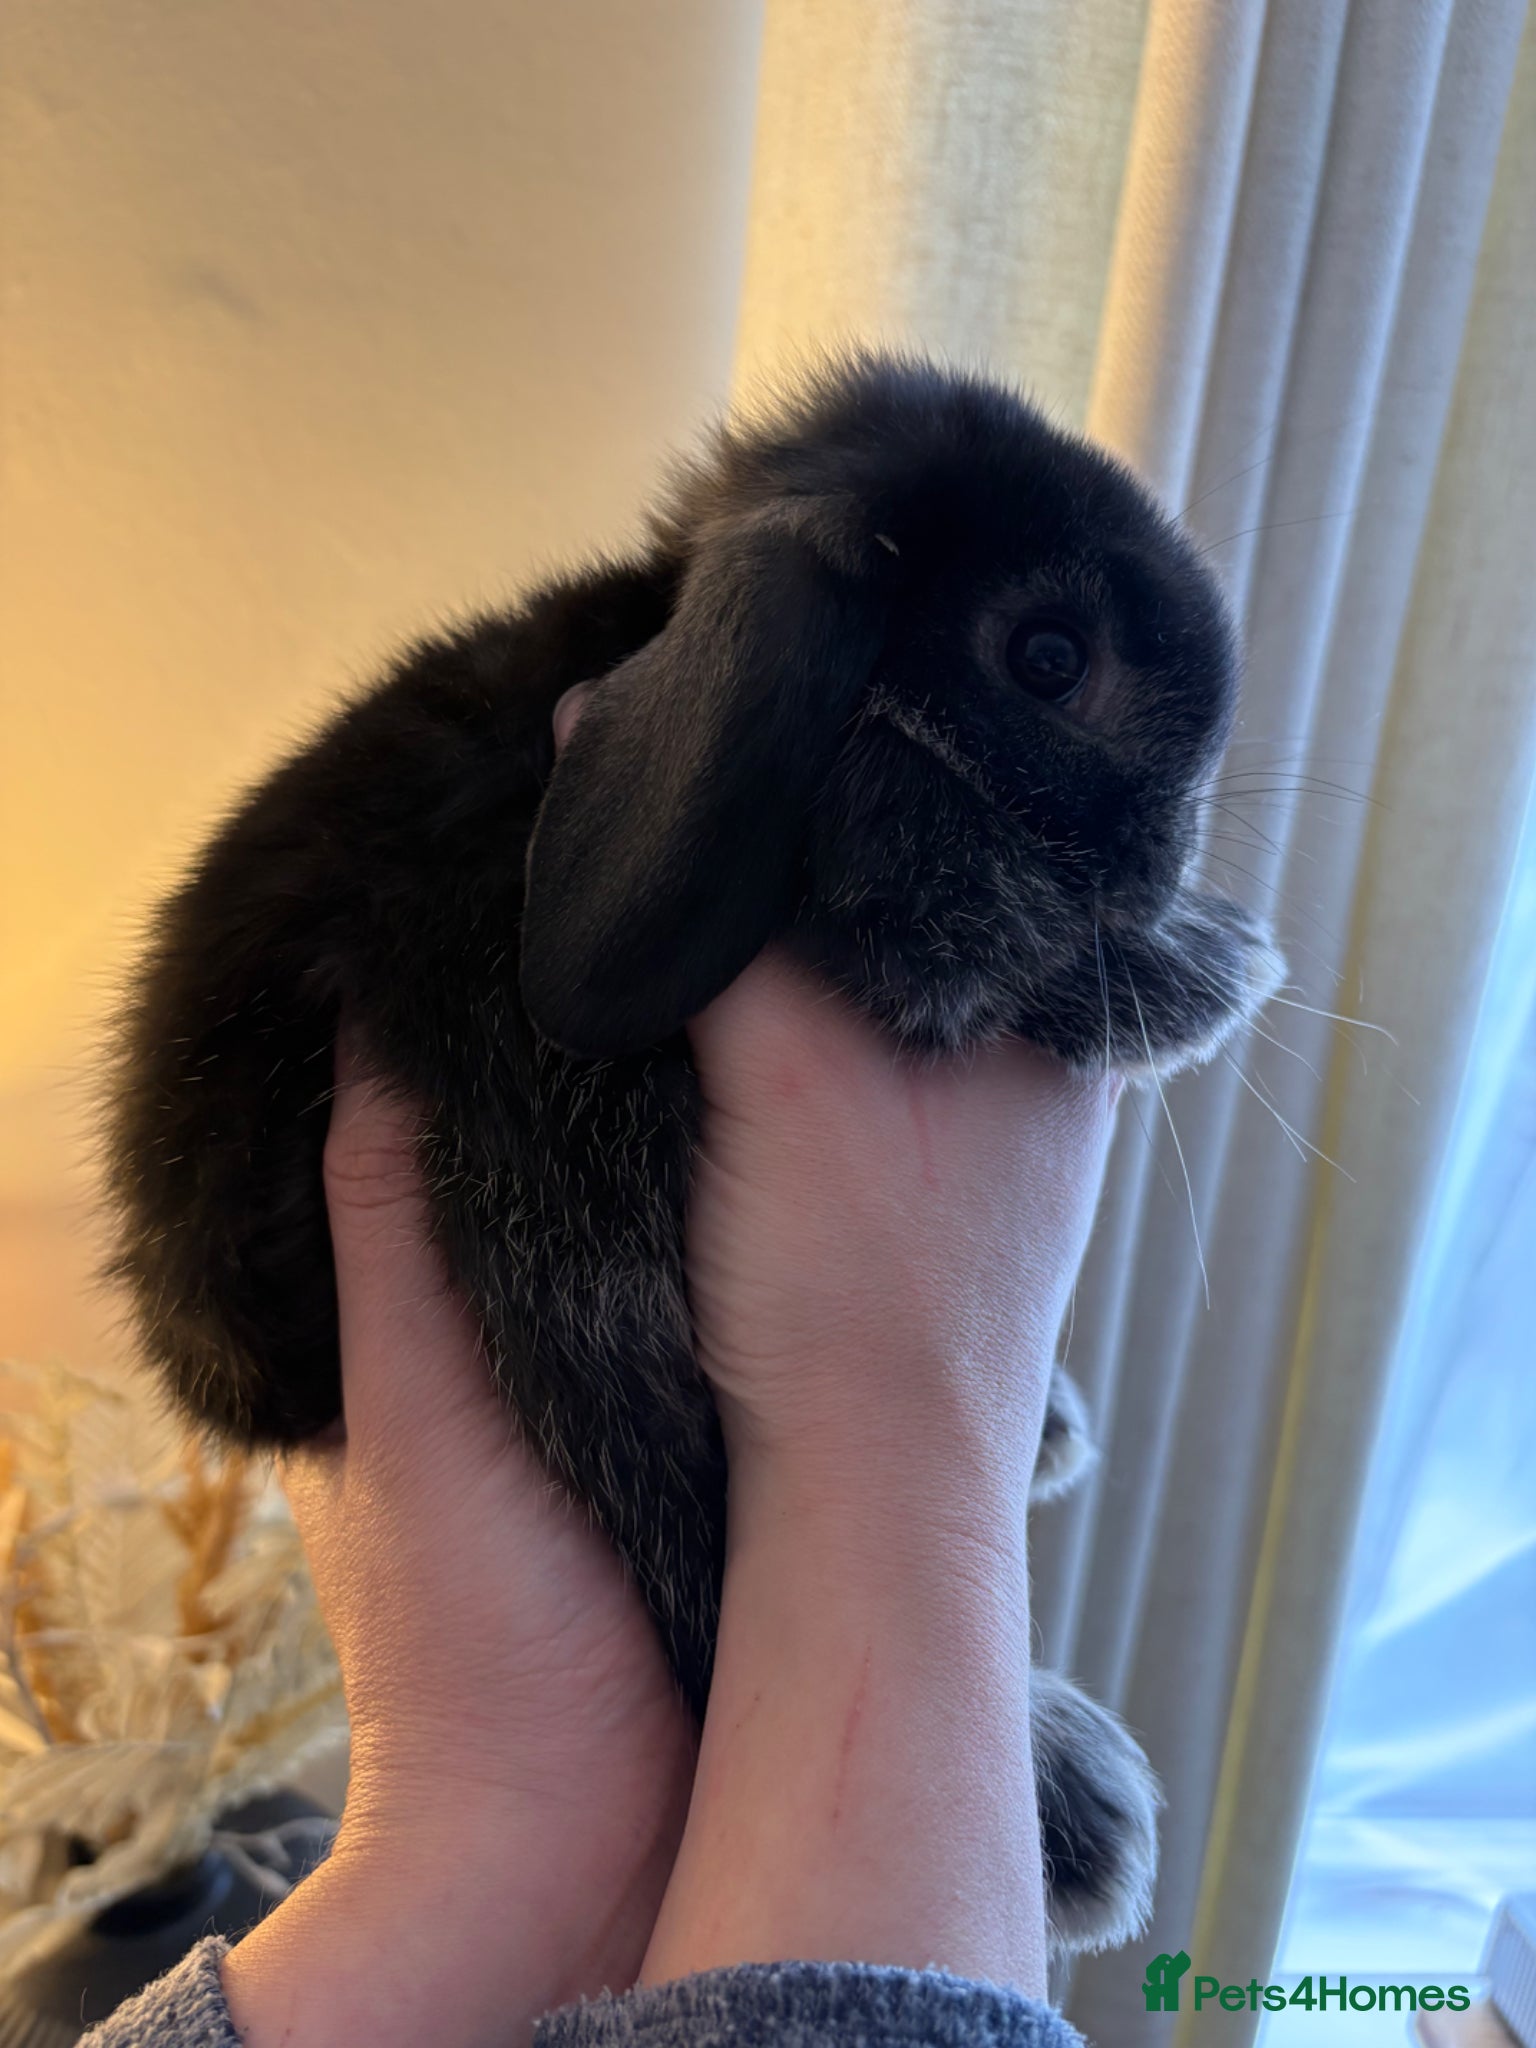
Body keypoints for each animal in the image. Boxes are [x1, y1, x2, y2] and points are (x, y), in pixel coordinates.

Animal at [102, 352, 1284, 1956]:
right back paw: (1071, 1803)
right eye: (1049, 656)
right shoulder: (883, 869)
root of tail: (231, 1371)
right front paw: (1202, 970)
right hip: (548, 1200)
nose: (1167, 867)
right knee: (672, 1498)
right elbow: (979, 924)